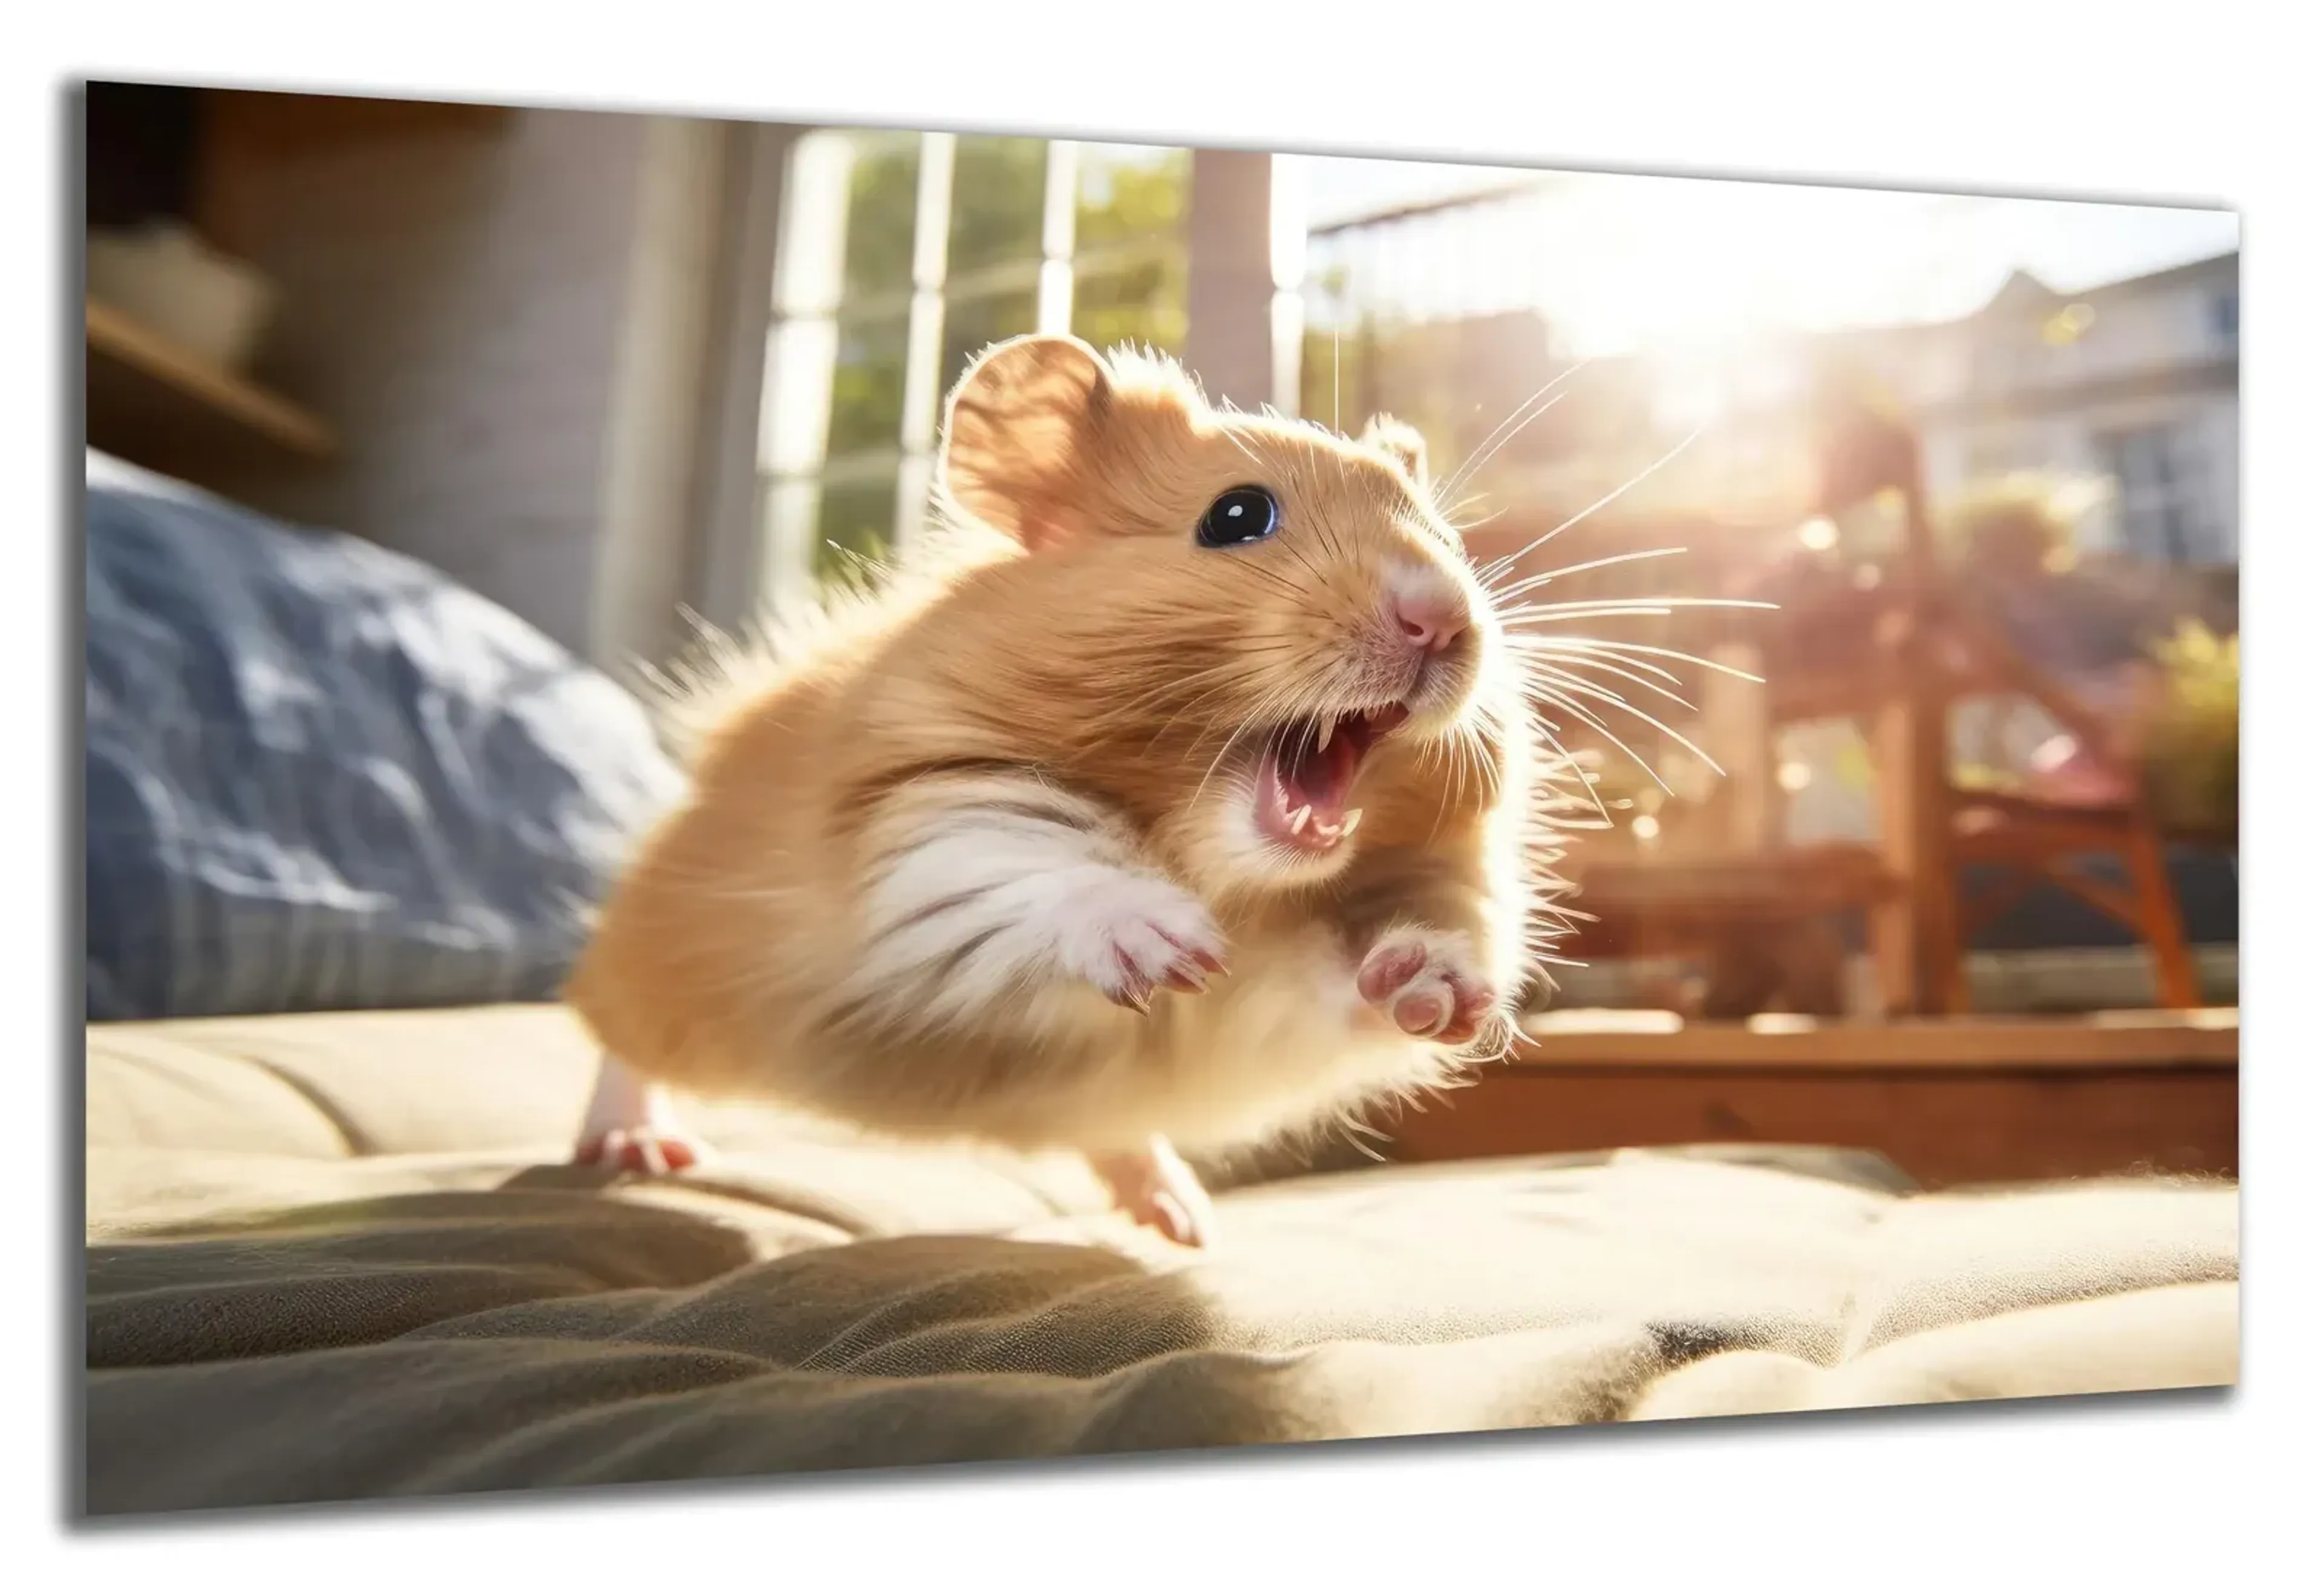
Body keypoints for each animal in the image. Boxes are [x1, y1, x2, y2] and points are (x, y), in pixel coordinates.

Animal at [563, 333, 1570, 1246]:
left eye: (1448, 539)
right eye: (1237, 515)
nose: (1442, 619)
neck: (1227, 872)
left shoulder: (1283, 996)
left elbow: (1367, 968)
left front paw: (1439, 990)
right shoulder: (922, 815)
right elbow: (1037, 856)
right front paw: (1169, 949)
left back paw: (1180, 1218)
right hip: (670, 981)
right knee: (620, 1043)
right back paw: (635, 1147)